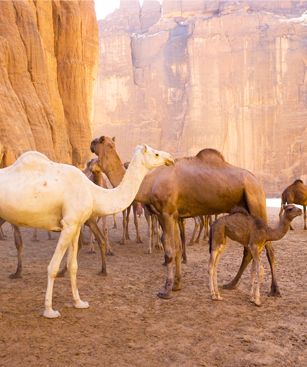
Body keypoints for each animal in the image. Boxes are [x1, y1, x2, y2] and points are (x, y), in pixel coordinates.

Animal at [0, 145, 173, 318]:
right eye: (156, 154)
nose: (170, 158)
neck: (92, 192)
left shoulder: (76, 225)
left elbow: (73, 265)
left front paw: (79, 302)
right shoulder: (69, 224)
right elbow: (53, 266)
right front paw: (49, 310)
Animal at [91, 138, 282, 302]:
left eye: (101, 140)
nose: (91, 143)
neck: (148, 183)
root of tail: (258, 181)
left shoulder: (166, 213)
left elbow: (169, 249)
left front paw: (166, 290)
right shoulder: (173, 216)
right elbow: (176, 247)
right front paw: (177, 285)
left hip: (256, 202)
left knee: (269, 249)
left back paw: (275, 290)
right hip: (245, 210)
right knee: (248, 250)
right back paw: (231, 284)